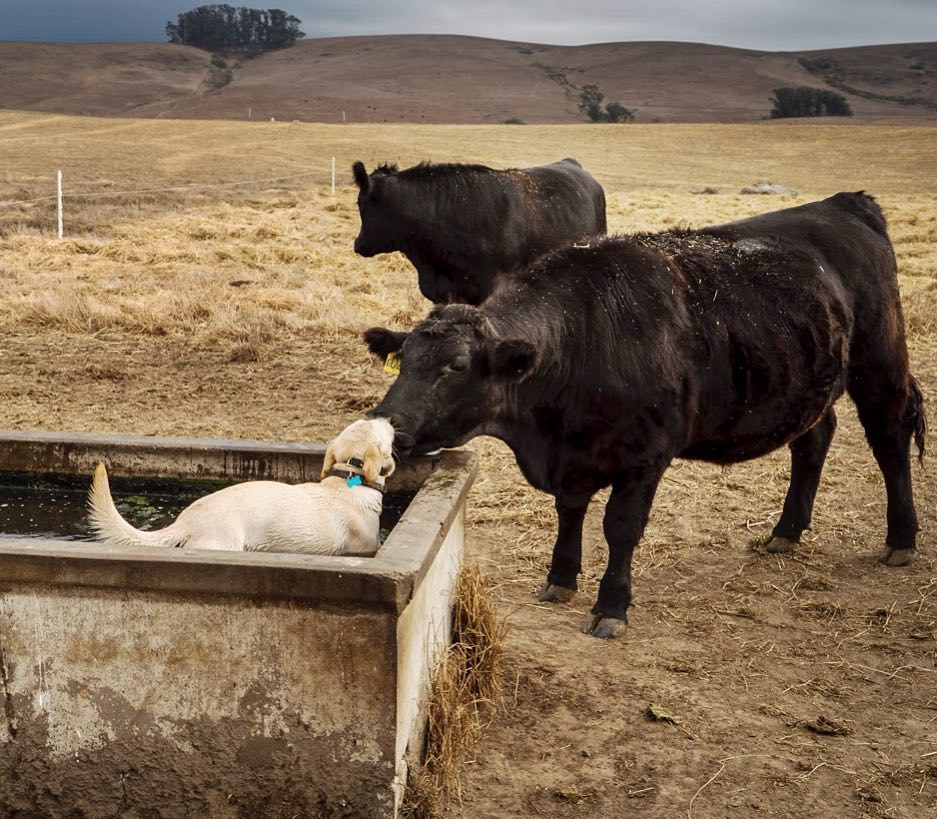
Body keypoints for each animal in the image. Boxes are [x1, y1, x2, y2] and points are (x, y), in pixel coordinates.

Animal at [363, 192, 926, 639]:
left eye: (456, 366)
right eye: (404, 357)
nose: (388, 424)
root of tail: (844, 204)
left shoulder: (644, 457)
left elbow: (620, 527)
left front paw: (611, 605)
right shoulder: (575, 458)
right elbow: (570, 512)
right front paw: (560, 579)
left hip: (879, 363)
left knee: (890, 436)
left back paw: (901, 539)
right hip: (806, 385)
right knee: (813, 439)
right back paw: (786, 531)